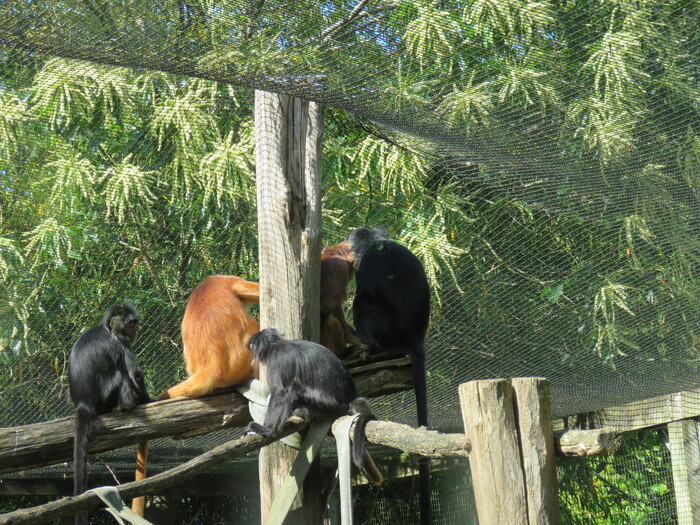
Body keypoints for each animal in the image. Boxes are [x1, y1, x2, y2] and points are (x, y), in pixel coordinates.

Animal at [68, 300, 149, 520]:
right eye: (130, 326)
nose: (134, 332)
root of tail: (83, 403)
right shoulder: (121, 343)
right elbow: (133, 373)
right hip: (106, 395)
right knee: (123, 374)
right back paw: (131, 404)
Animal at [242, 328, 382, 484]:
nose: (251, 354)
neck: (277, 343)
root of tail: (349, 399)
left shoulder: (275, 359)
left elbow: (280, 393)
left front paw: (266, 429)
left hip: (326, 405)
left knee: (293, 391)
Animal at [350, 227, 432, 520]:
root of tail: (415, 340)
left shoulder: (369, 262)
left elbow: (365, 291)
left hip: (384, 330)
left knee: (363, 301)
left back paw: (369, 346)